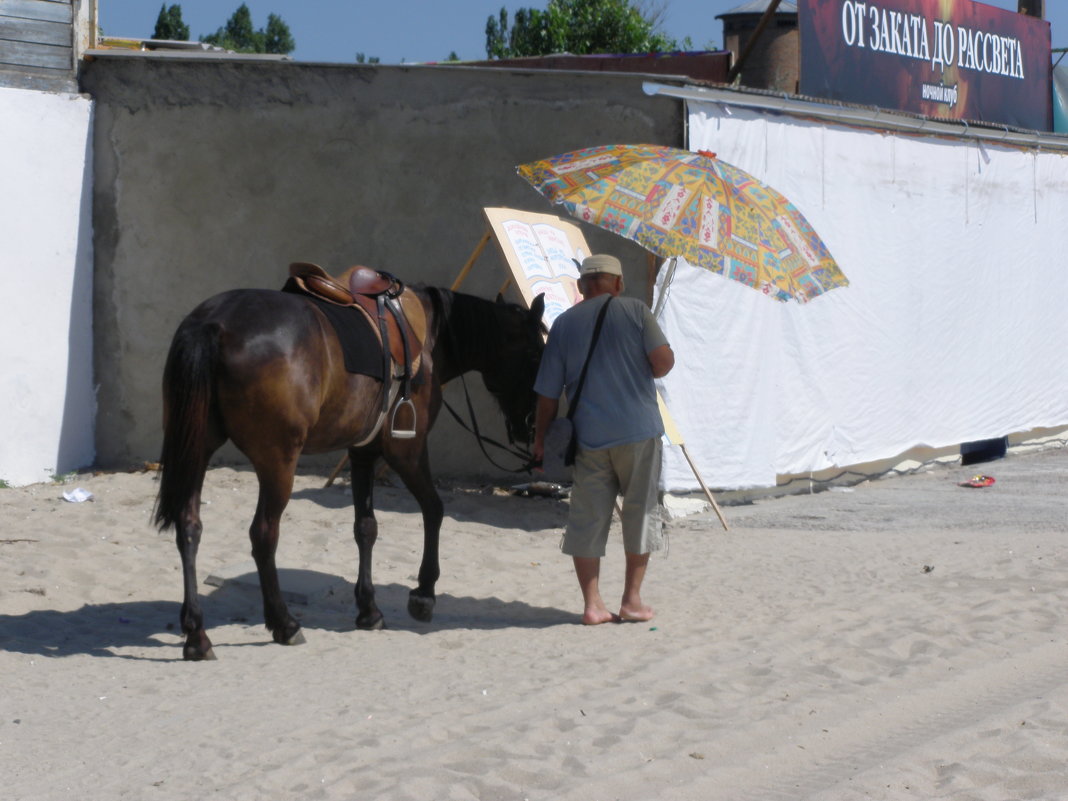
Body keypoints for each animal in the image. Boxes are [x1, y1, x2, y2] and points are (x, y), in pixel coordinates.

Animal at [154, 281, 546, 657]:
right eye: (535, 353)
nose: (531, 425)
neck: (429, 334)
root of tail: (214, 322)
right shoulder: (407, 450)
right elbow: (434, 509)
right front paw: (424, 592)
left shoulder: (362, 452)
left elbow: (366, 528)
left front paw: (368, 609)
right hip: (277, 461)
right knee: (263, 534)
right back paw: (284, 624)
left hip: (197, 449)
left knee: (189, 528)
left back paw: (196, 634)